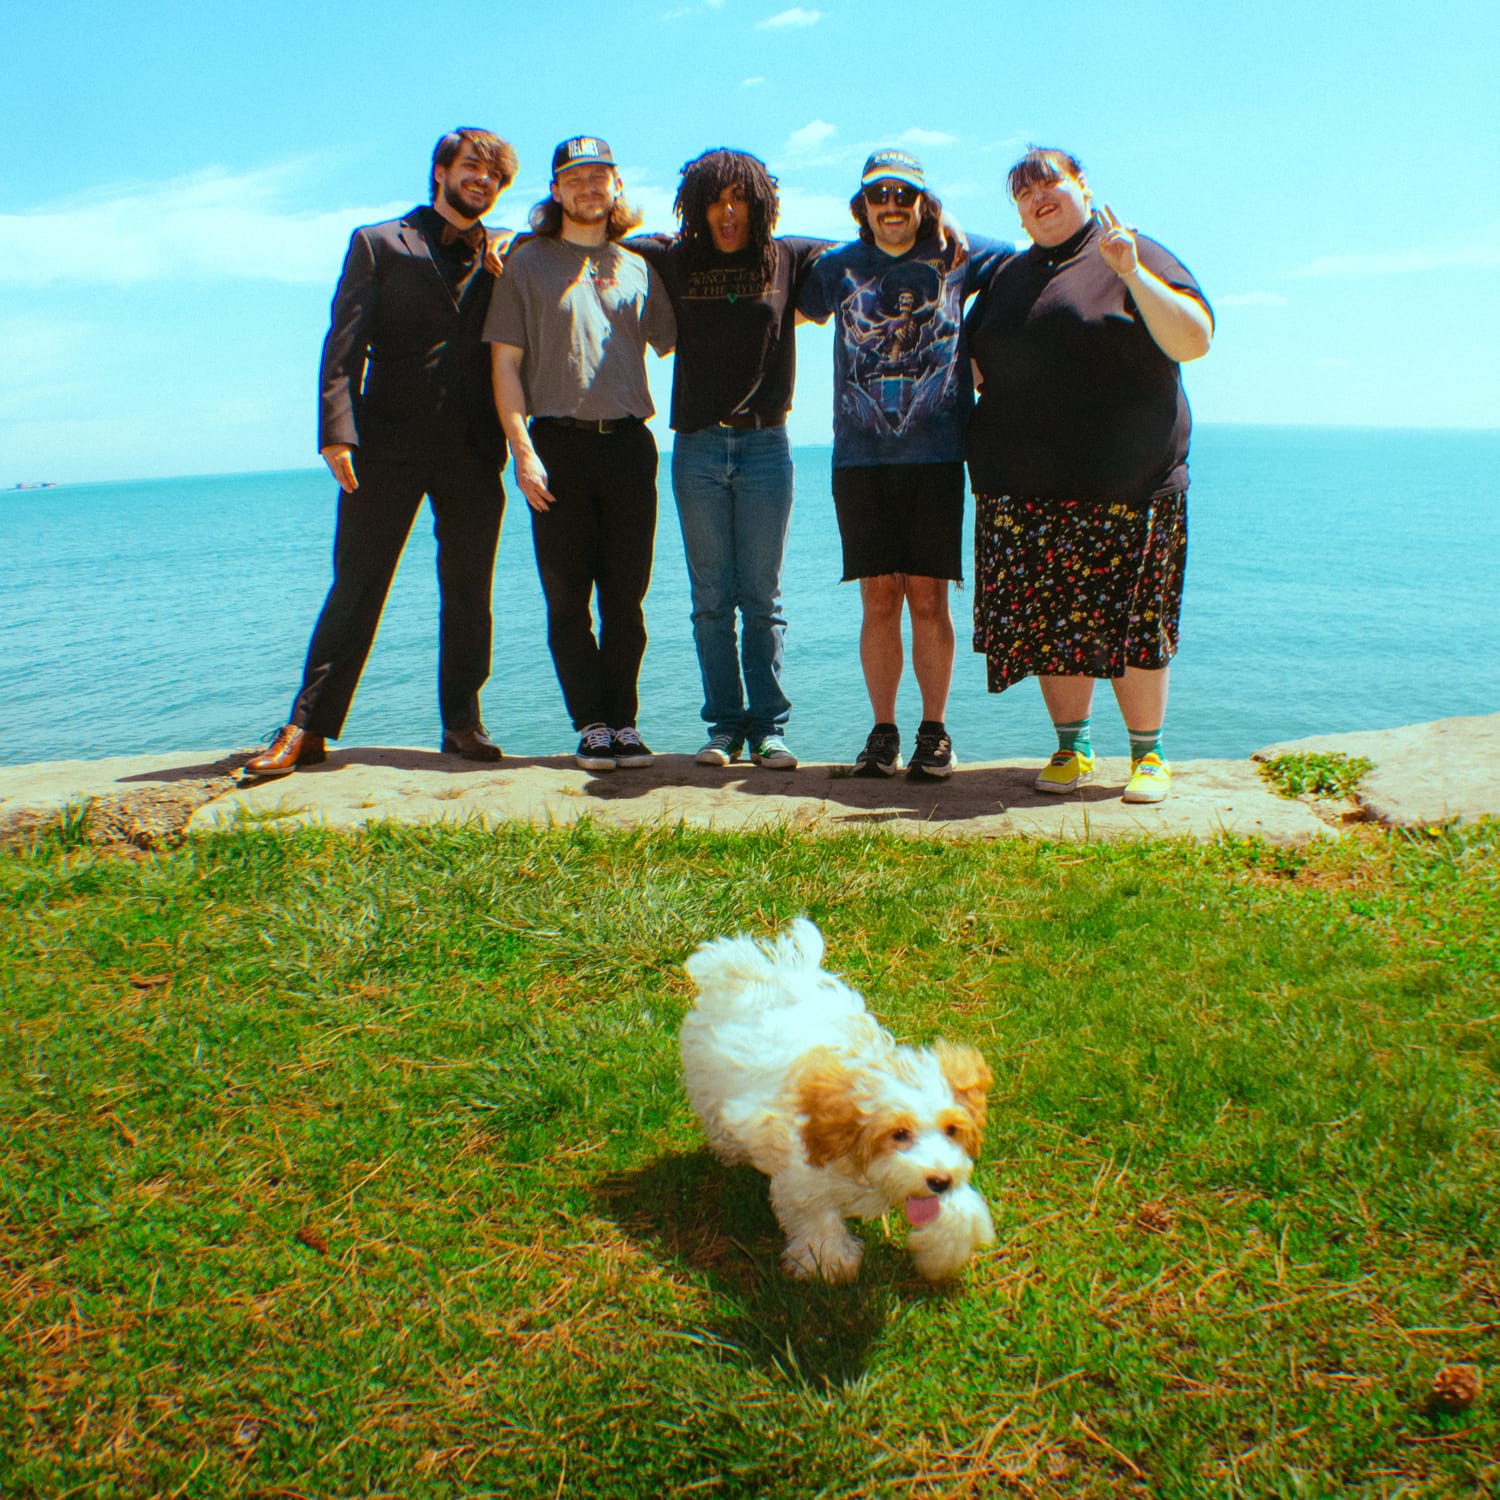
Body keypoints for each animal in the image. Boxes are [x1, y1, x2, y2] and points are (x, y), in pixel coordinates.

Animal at [680, 919, 994, 1283]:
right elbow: (816, 1216)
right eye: (899, 1134)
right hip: (707, 1084)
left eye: (951, 1130)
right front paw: (830, 1261)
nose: (939, 1181)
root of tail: (765, 975)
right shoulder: (804, 1177)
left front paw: (942, 1252)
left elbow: (958, 1209)